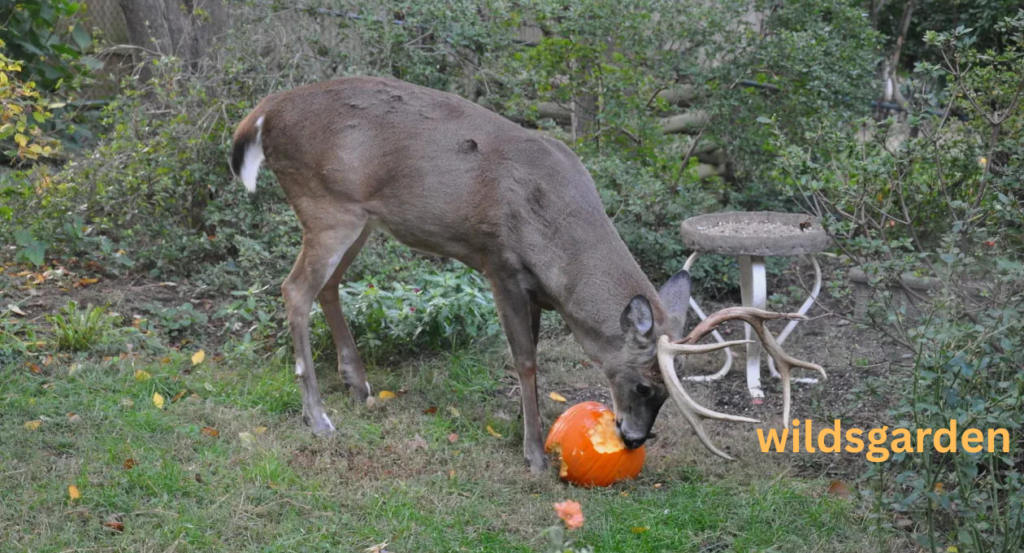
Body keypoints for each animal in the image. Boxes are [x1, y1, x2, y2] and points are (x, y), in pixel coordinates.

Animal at [230, 76, 825, 473]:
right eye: (642, 384)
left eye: (664, 397)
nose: (634, 439)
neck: (559, 243)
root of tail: (263, 112)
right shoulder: (501, 264)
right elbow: (525, 360)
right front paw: (534, 454)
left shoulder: (537, 291)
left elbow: (531, 357)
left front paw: (526, 433)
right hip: (325, 204)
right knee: (295, 289)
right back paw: (318, 417)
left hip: (360, 220)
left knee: (326, 287)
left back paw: (359, 388)